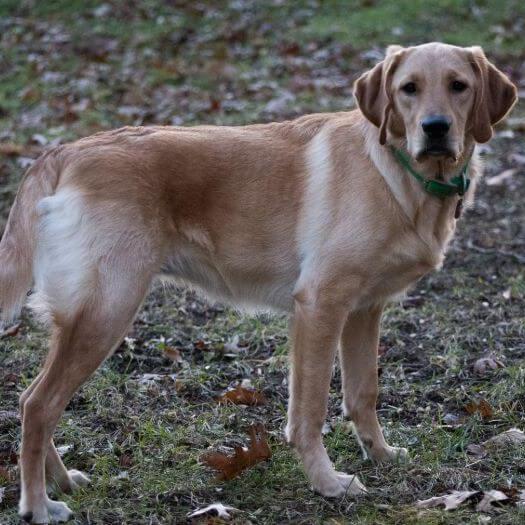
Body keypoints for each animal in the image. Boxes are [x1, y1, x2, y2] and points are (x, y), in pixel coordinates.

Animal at [0, 42, 516, 520]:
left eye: (458, 86)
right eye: (409, 88)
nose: (435, 128)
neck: (398, 173)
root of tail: (63, 151)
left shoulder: (364, 310)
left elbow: (362, 394)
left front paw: (383, 455)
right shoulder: (320, 305)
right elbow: (309, 411)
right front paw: (327, 483)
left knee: (32, 399)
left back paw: (62, 483)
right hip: (107, 310)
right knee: (38, 405)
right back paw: (38, 505)